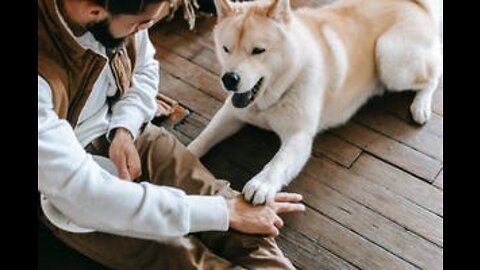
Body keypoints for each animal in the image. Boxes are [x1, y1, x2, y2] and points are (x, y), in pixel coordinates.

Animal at [187, 0, 442, 204]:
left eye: (258, 50)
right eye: (226, 49)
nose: (229, 79)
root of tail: (416, 4)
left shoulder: (299, 136)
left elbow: (278, 162)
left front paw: (262, 184)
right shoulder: (230, 114)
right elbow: (204, 137)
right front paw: (186, 154)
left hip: (389, 57)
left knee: (433, 75)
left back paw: (421, 106)